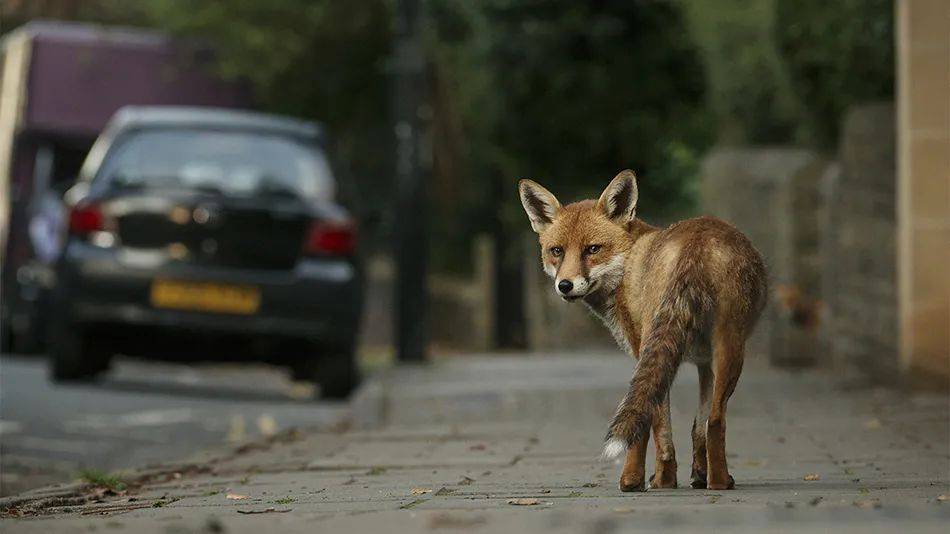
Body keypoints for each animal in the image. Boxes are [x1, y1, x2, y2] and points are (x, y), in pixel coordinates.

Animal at [516, 173, 768, 494]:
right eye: (557, 251)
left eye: (593, 249)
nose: (565, 285)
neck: (628, 265)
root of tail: (697, 240)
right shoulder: (703, 363)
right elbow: (696, 427)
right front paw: (698, 475)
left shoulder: (641, 352)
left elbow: (649, 427)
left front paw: (638, 480)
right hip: (727, 347)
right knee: (715, 421)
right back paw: (718, 482)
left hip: (665, 344)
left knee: (664, 420)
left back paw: (674, 481)